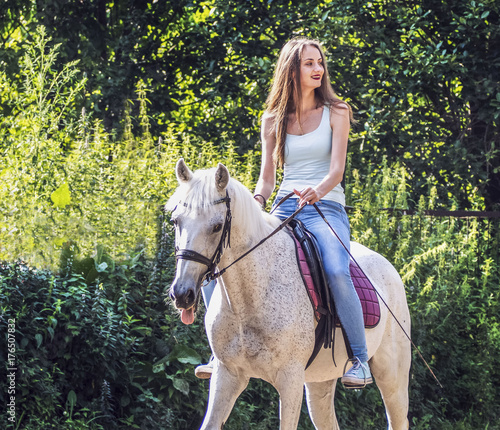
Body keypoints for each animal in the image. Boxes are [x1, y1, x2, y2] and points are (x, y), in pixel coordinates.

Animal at [168, 160, 410, 430]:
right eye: (176, 221)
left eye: (217, 226)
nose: (182, 294)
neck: (250, 298)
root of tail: (389, 267)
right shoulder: (227, 375)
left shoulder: (290, 379)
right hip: (319, 382)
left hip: (393, 378)